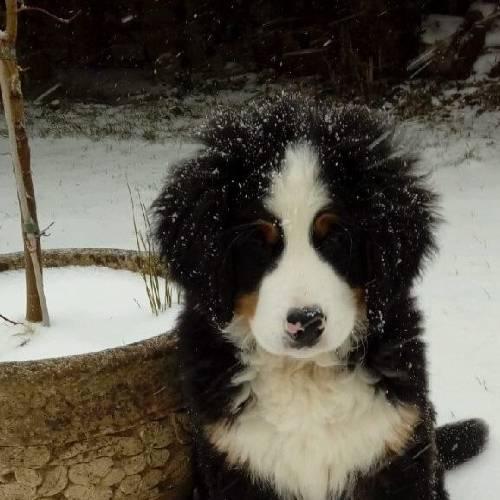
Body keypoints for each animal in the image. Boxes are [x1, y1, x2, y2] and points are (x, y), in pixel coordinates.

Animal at [153, 94, 488, 500]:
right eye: (256, 243)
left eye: (337, 237)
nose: (306, 323)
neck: (305, 376)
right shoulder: (234, 461)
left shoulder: (396, 450)